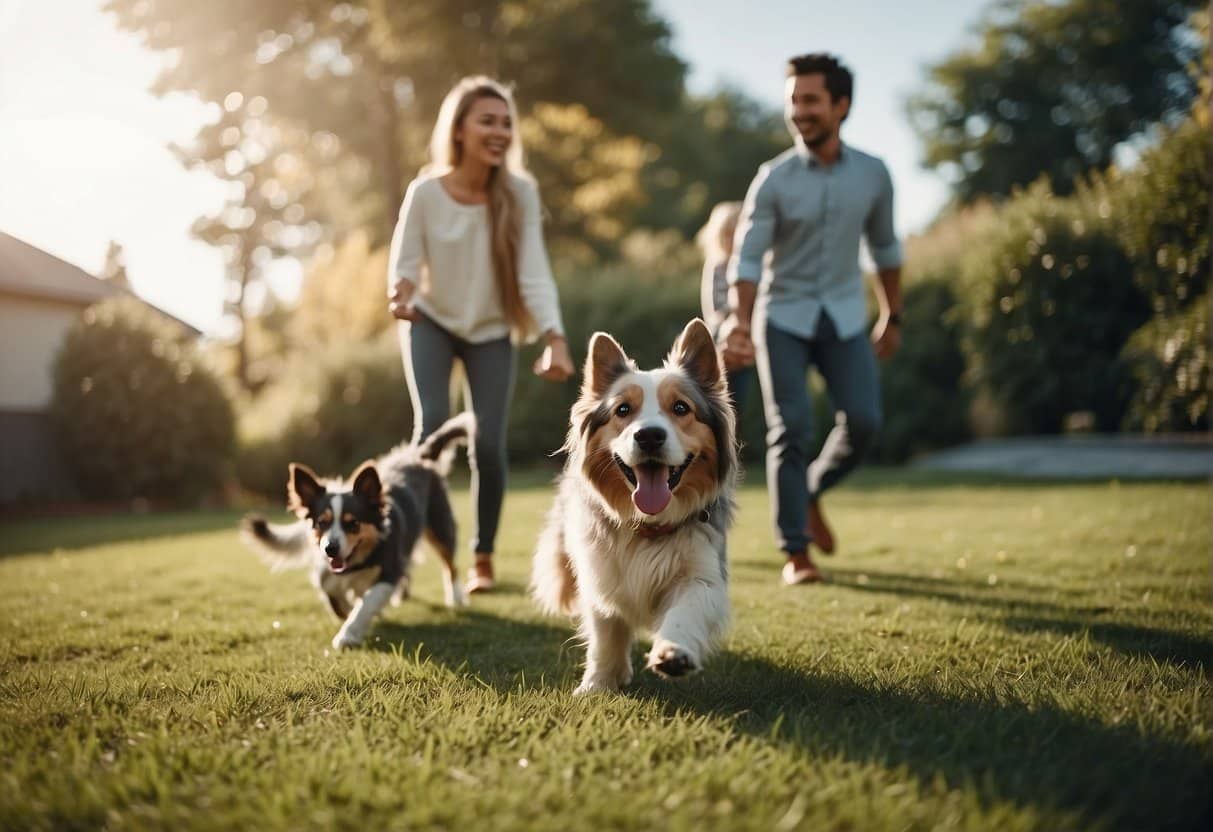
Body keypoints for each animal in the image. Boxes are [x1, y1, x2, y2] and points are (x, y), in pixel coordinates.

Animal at [242, 414, 473, 650]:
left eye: (352, 523)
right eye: (321, 523)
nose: (330, 549)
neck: (356, 562)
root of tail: (418, 457)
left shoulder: (388, 571)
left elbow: (366, 603)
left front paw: (348, 634)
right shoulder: (327, 573)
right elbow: (334, 595)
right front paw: (350, 613)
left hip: (441, 527)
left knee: (450, 564)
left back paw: (456, 597)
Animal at [533, 320, 737, 698]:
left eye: (681, 408)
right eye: (623, 410)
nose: (650, 436)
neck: (648, 525)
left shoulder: (702, 572)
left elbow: (685, 610)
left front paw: (673, 653)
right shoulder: (601, 575)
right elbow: (605, 633)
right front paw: (598, 683)